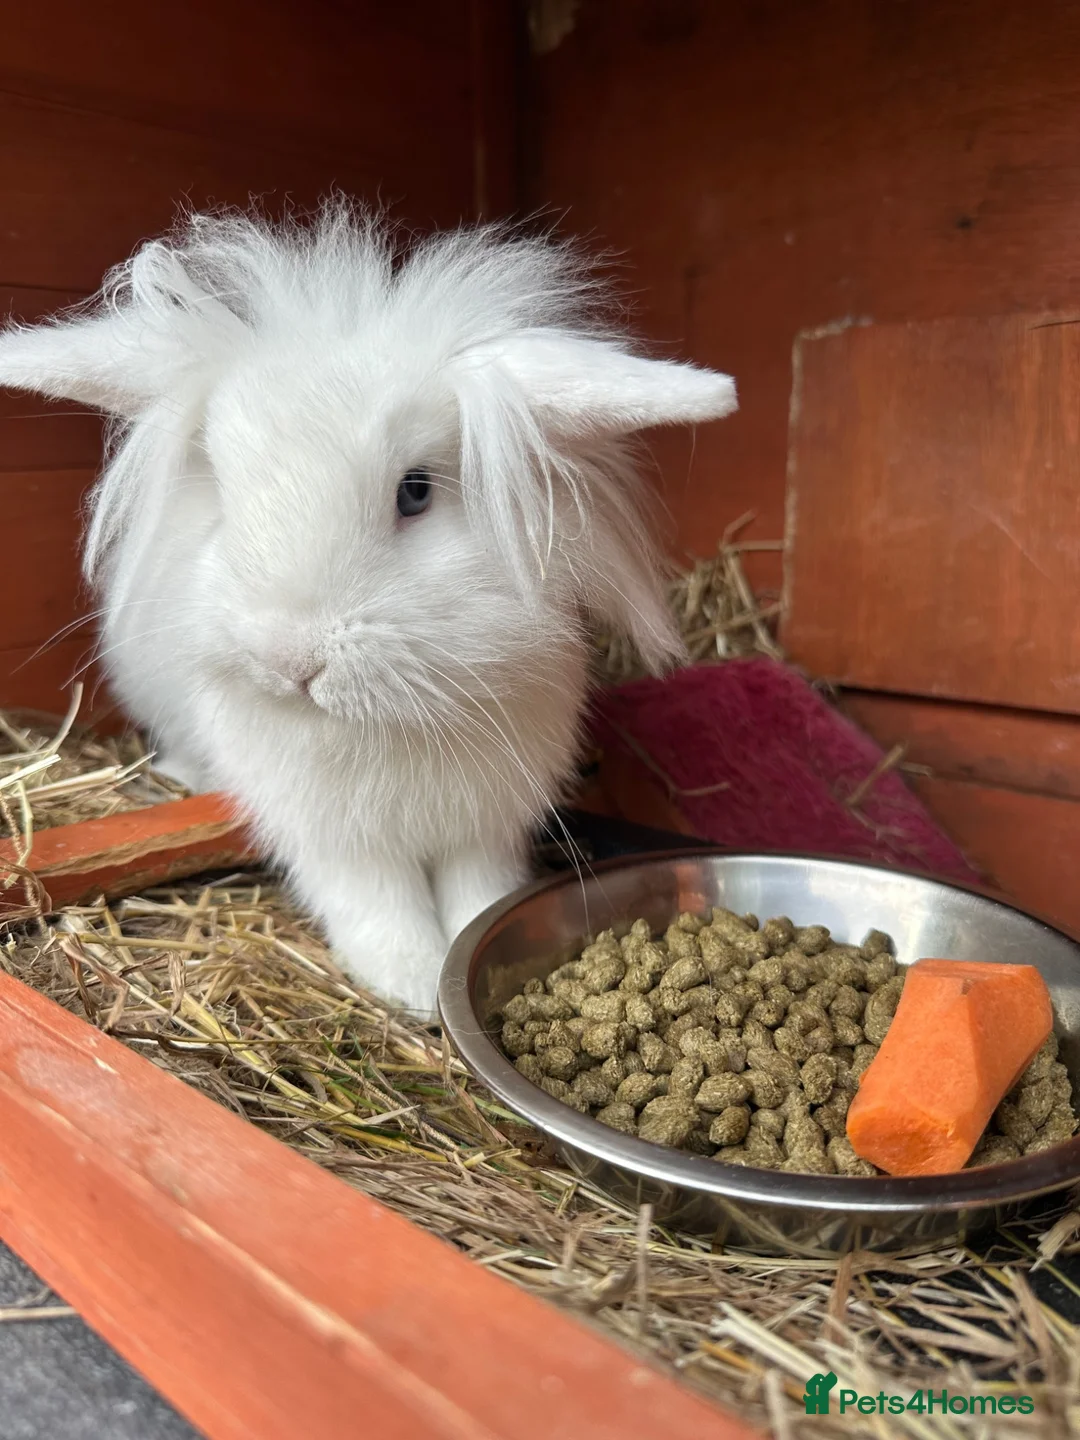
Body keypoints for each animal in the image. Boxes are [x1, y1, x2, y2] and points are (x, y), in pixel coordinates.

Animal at [0, 203, 737, 1018]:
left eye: (416, 491)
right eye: (222, 487)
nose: (288, 658)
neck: (383, 721)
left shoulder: (488, 816)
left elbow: (480, 889)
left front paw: (459, 949)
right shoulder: (337, 838)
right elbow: (376, 902)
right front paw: (413, 979)